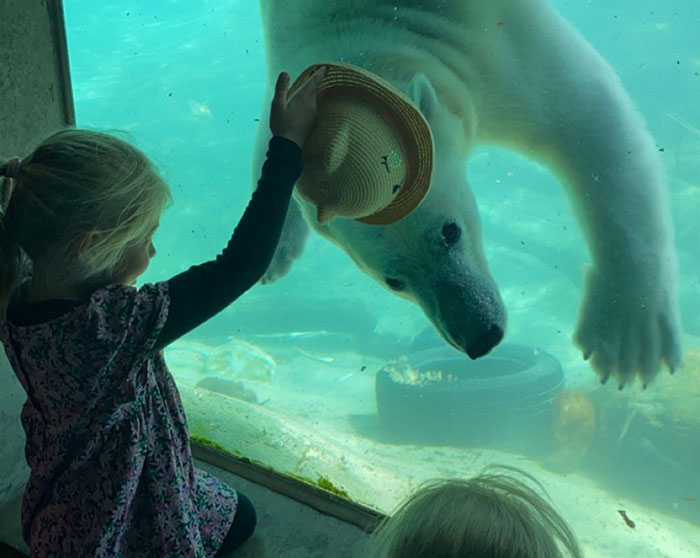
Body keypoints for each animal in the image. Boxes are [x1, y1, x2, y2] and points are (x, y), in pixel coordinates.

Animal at [252, 0, 682, 388]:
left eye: (450, 230)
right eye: (394, 280)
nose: (481, 338)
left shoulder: (492, 46)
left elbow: (589, 116)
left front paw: (628, 334)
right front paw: (275, 247)